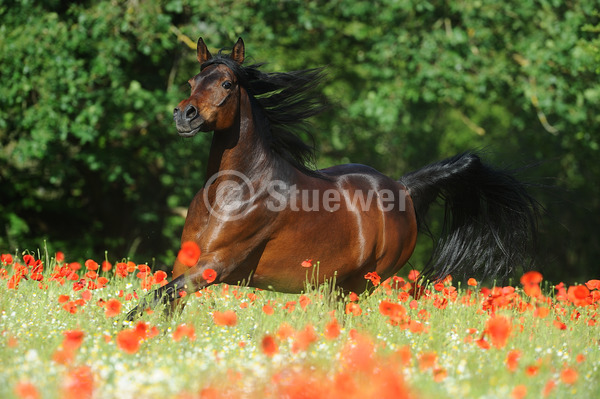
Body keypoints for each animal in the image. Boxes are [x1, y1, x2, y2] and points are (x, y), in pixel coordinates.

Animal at [126, 38, 540, 322]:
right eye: (192, 79)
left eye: (227, 84)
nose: (185, 115)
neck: (235, 189)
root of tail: (403, 188)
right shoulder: (185, 265)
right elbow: (164, 305)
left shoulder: (216, 265)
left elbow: (149, 301)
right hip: (336, 285)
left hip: (361, 283)